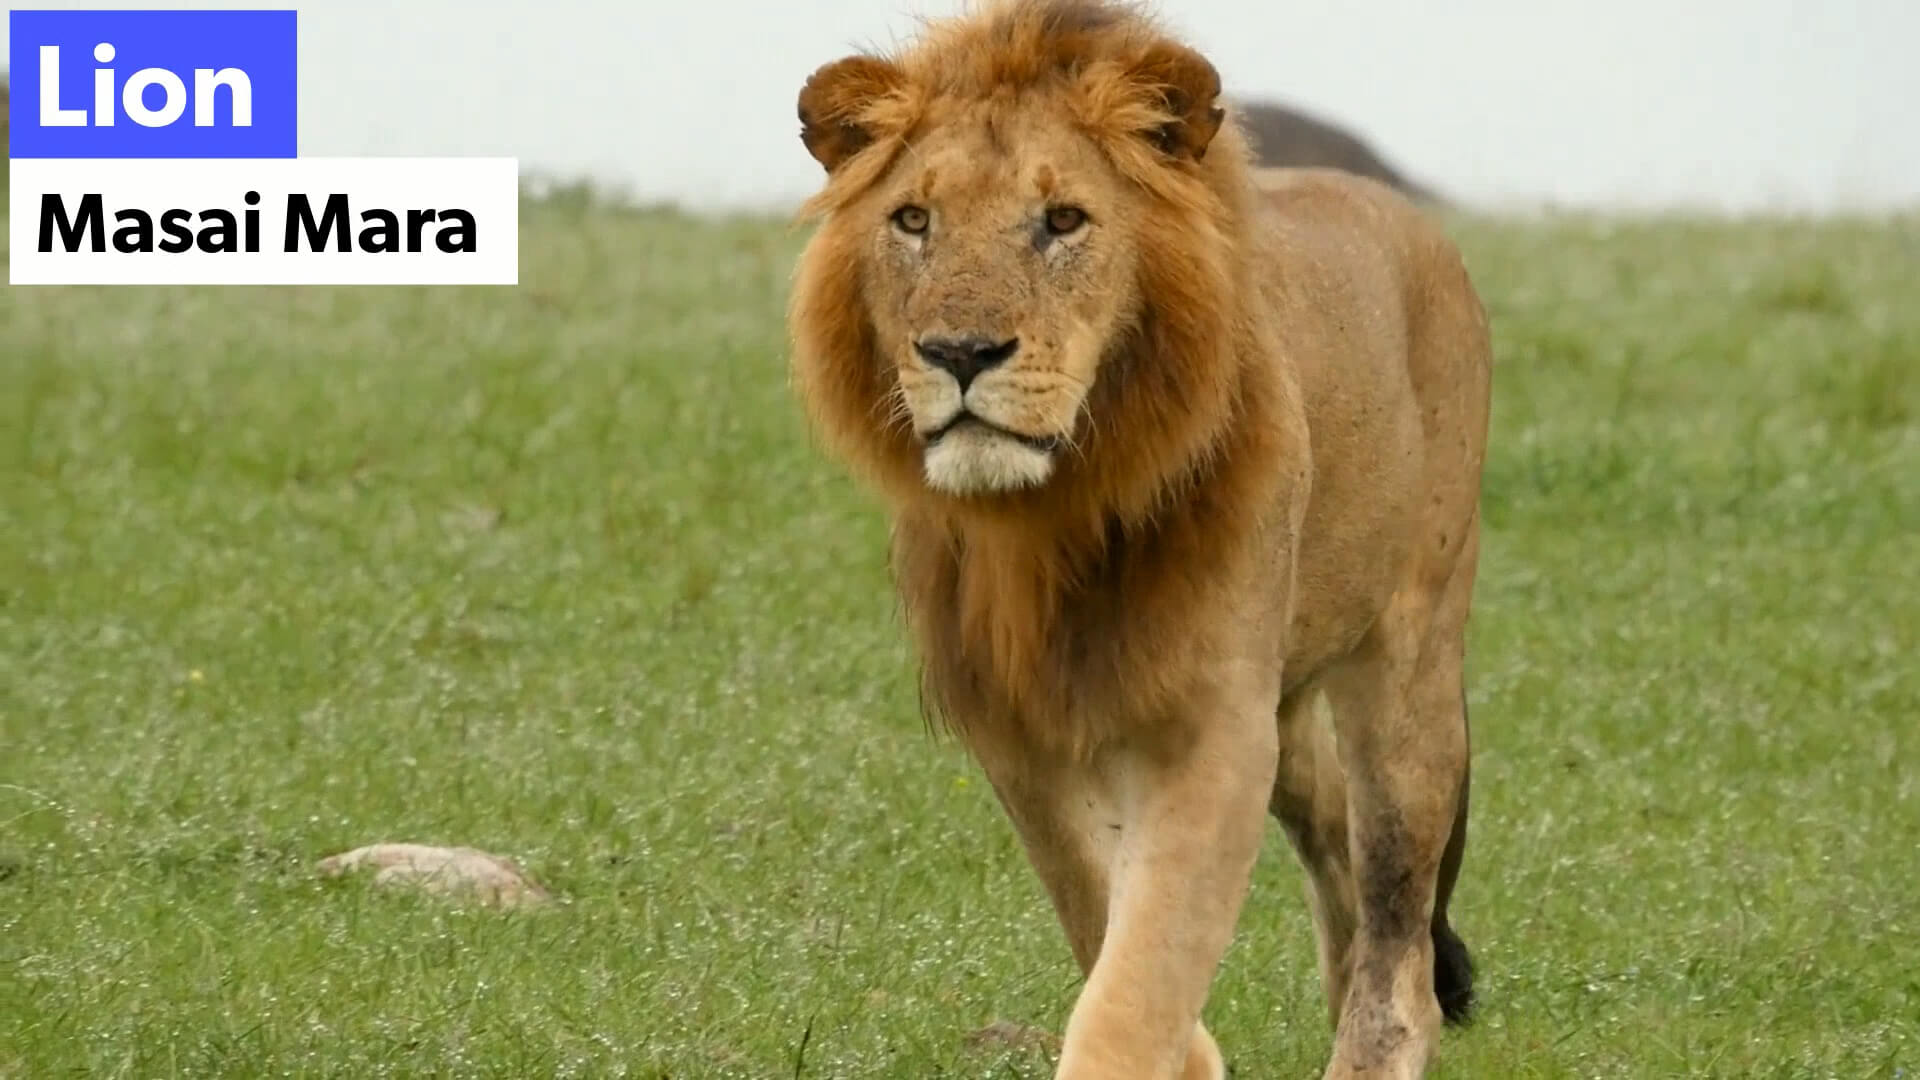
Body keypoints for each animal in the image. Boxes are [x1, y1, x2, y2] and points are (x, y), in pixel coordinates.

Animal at [787, 4, 1489, 1068]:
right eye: (913, 220)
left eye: (1063, 220)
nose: (958, 353)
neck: (1054, 519)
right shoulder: (1018, 730)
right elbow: (1103, 918)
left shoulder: (1212, 724)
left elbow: (1144, 963)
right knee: (1330, 826)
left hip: (1408, 662)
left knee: (1398, 925)